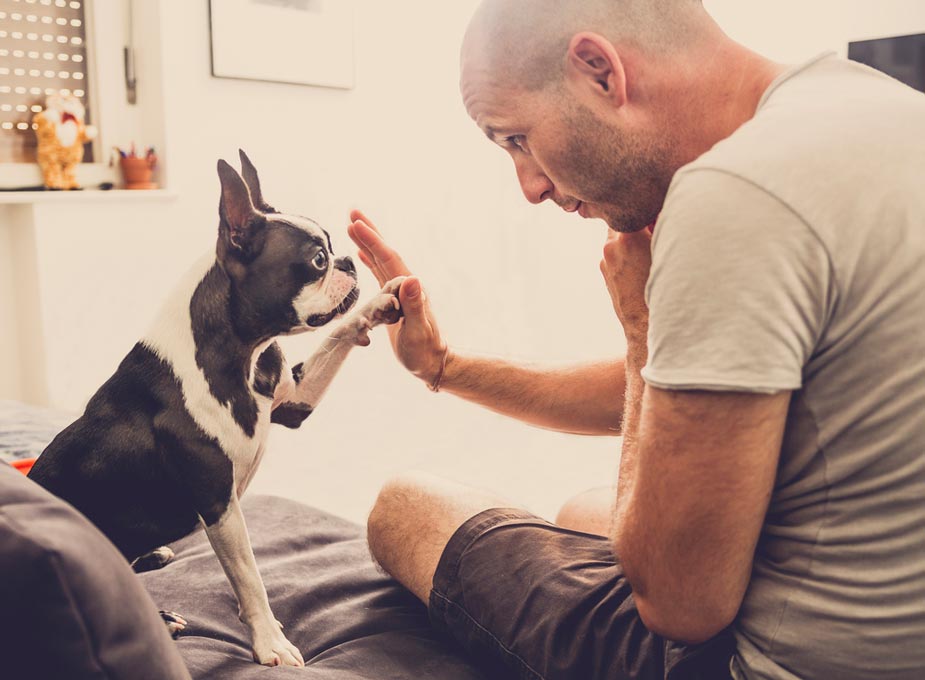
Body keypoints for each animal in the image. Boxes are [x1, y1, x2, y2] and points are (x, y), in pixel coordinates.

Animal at [28, 151, 402, 668]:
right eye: (317, 260)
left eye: (333, 247)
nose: (347, 260)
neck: (238, 354)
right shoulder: (219, 503)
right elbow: (249, 577)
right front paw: (271, 643)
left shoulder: (293, 399)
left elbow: (339, 334)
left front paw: (380, 304)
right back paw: (162, 618)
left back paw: (155, 557)